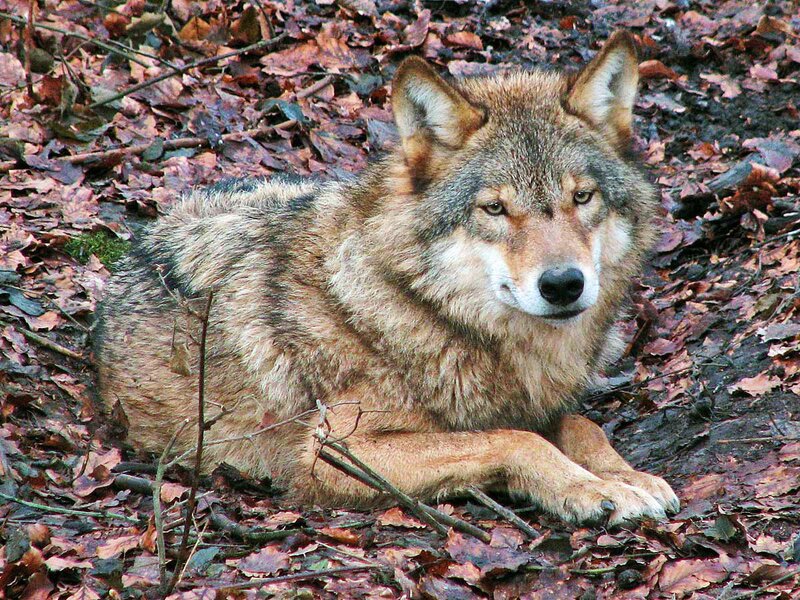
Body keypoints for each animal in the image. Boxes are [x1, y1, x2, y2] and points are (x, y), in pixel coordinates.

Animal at [94, 30, 679, 526]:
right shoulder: (334, 450)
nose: (563, 285)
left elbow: (580, 424)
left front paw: (627, 475)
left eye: (582, 197)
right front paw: (592, 488)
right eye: (494, 208)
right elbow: (515, 439)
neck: (429, 311)